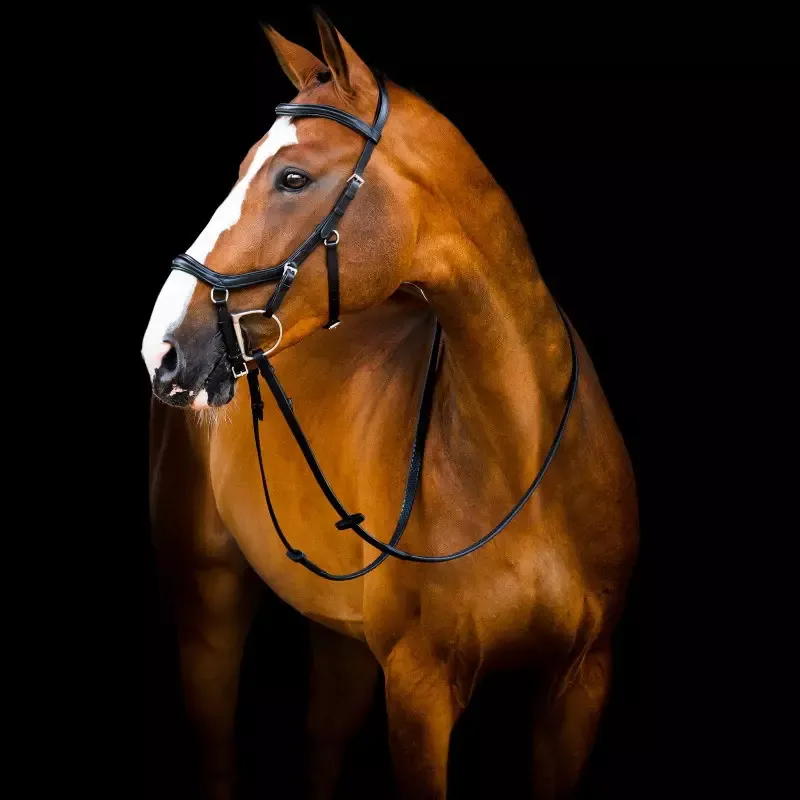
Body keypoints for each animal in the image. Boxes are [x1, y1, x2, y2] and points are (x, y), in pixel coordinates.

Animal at [142, 11, 638, 799]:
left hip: (338, 632)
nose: (161, 349)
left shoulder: (581, 683)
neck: (520, 456)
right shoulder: (418, 692)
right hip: (209, 603)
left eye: (291, 177)